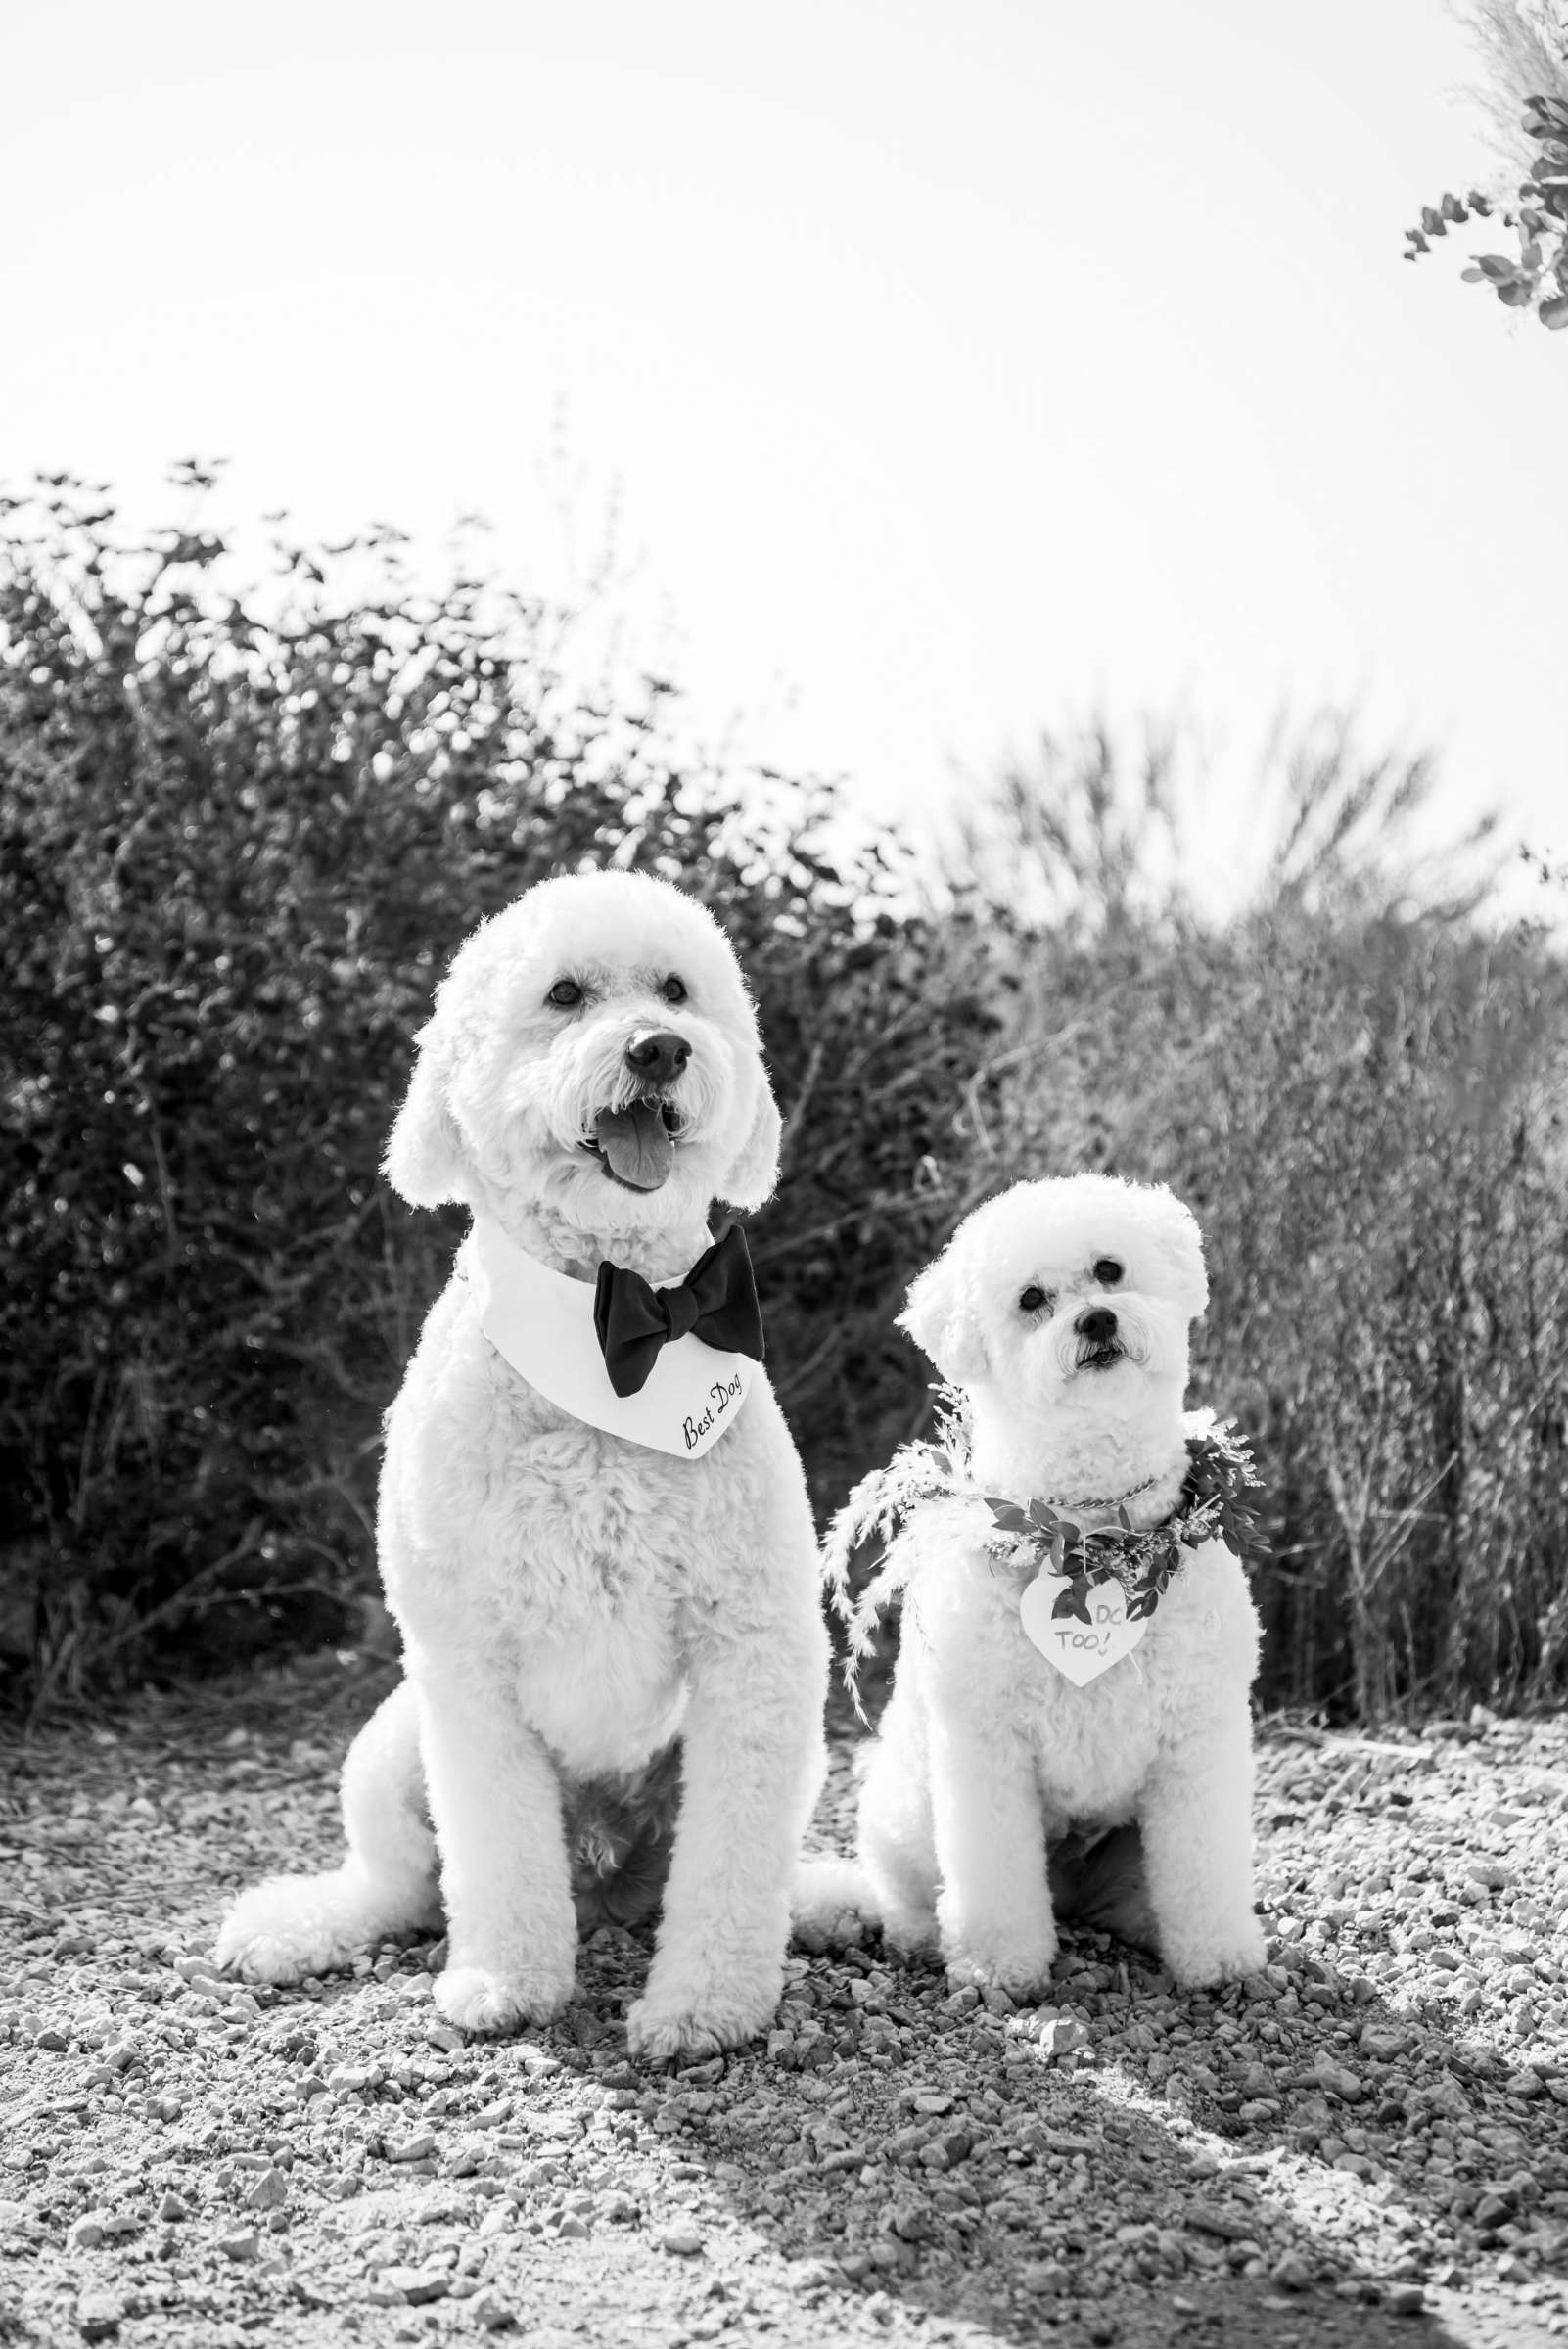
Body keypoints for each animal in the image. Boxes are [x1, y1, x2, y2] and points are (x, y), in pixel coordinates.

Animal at [220, 869, 830, 2057]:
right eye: (563, 994)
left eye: (677, 989)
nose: (658, 1050)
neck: (611, 1331)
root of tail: (601, 1879)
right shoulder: (468, 1663)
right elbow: (494, 1850)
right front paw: (505, 1982)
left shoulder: (757, 1657)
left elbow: (733, 1865)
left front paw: (706, 2008)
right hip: (391, 1740)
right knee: (400, 1885)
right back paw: (295, 1926)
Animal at [803, 1174, 1268, 2001]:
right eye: (1030, 1299)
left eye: (1110, 1269)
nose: (1097, 1319)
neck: (1096, 1541)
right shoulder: (986, 1750)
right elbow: (992, 1877)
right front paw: (999, 1965)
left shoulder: (1200, 1739)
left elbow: (1205, 1866)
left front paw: (1218, 1957)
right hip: (902, 1811)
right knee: (906, 1894)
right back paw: (921, 1938)